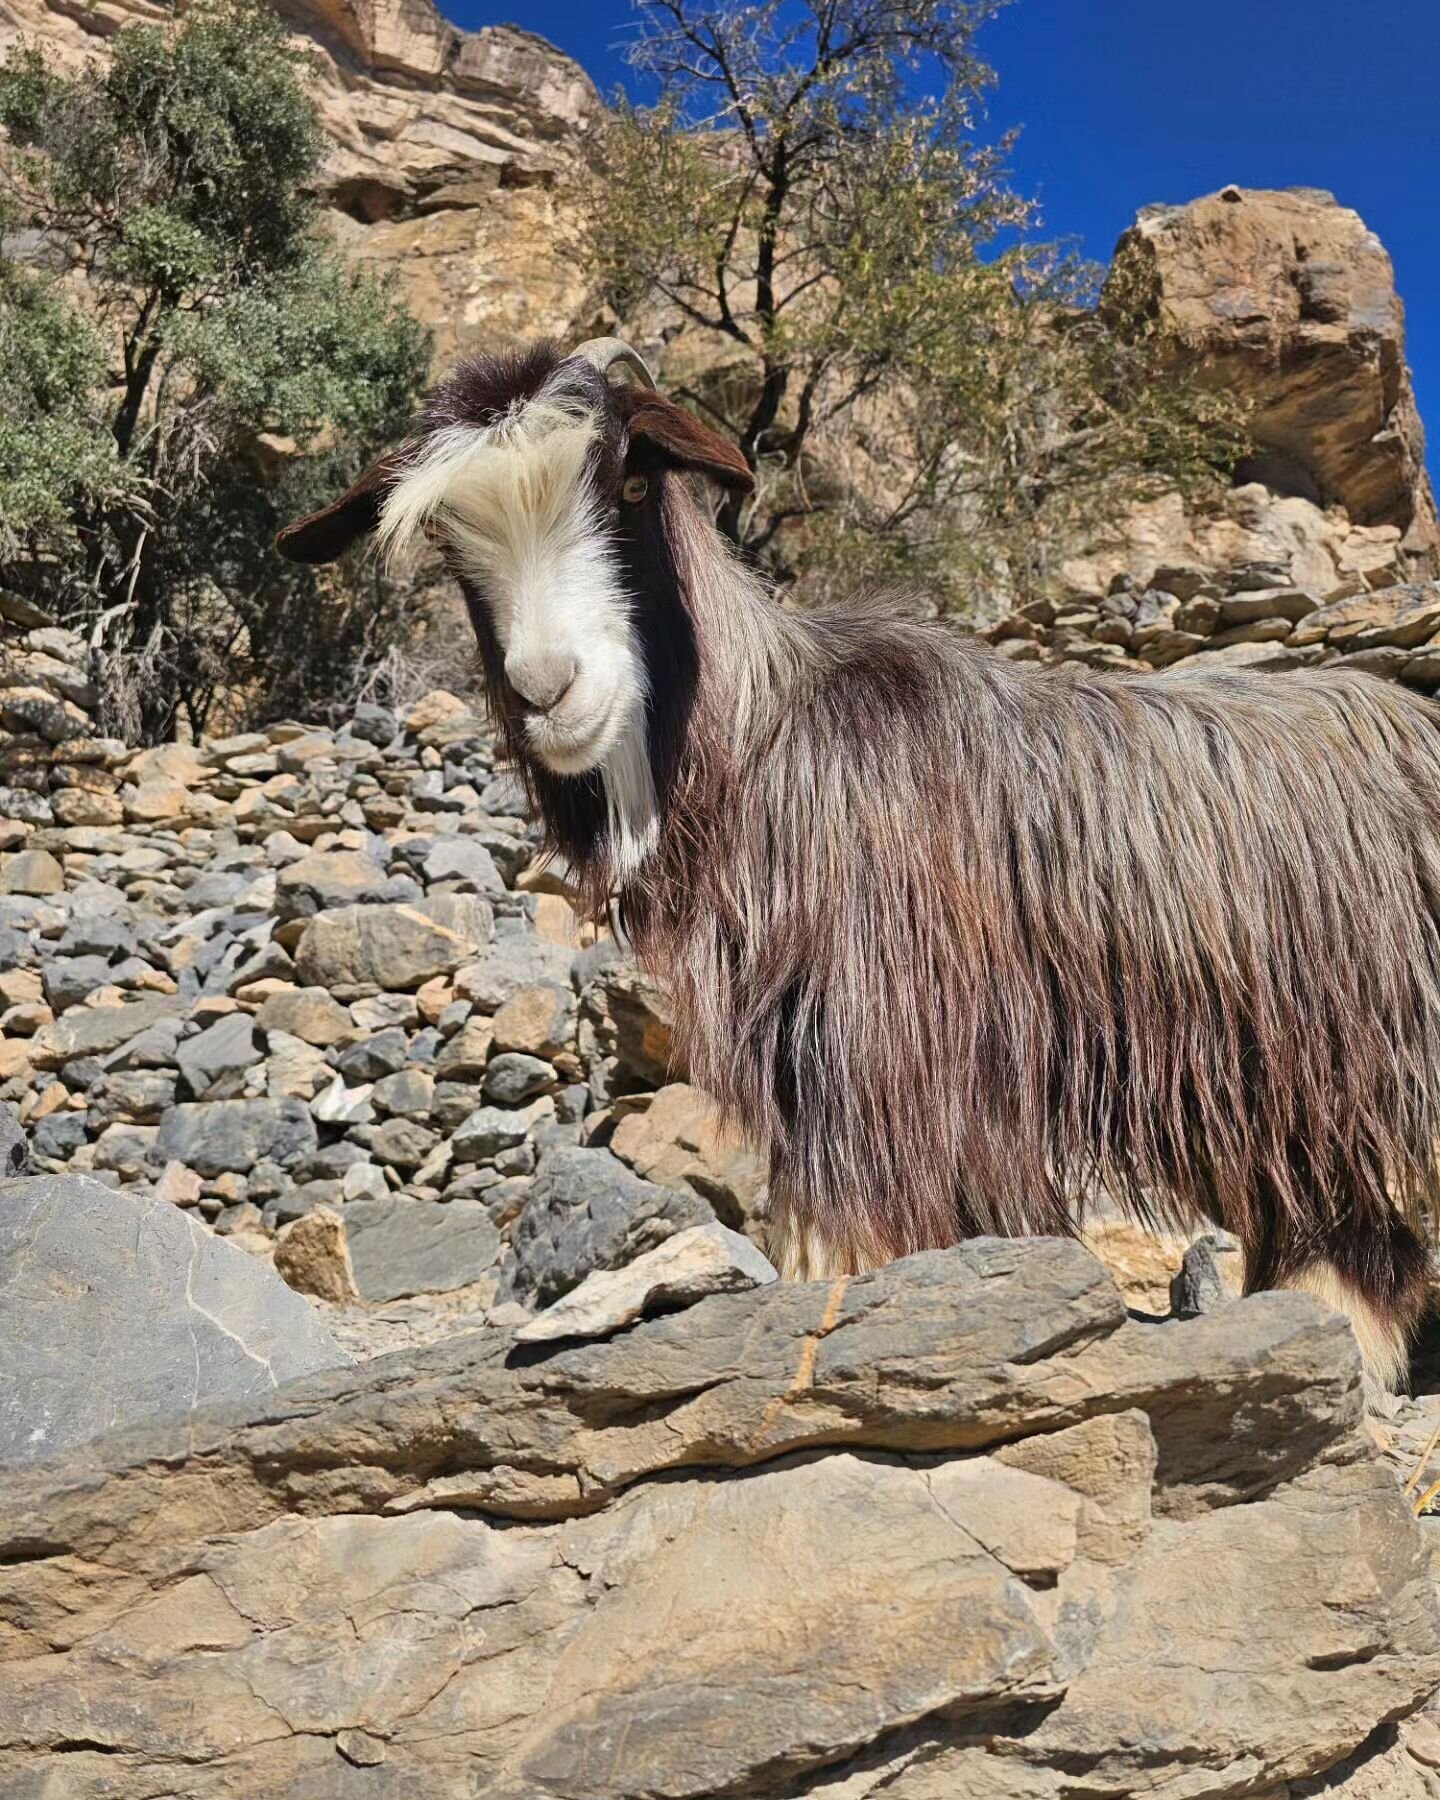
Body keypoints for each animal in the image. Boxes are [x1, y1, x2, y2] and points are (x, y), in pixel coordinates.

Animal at [279, 334, 1440, 1389]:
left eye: (632, 480)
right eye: (449, 545)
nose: (548, 688)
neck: (765, 732)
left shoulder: (879, 1023)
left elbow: (853, 1208)